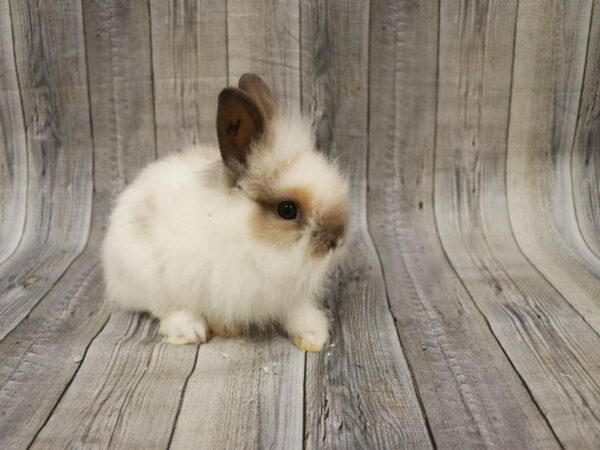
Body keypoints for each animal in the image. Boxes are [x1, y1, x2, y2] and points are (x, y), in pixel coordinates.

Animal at [101, 74, 350, 354]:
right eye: (287, 210)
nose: (337, 239)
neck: (250, 239)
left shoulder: (286, 295)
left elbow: (297, 312)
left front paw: (313, 336)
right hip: (146, 276)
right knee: (166, 308)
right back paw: (189, 330)